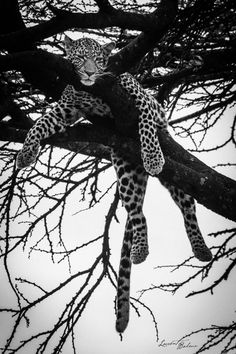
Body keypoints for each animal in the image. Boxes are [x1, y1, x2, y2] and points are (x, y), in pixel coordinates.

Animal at [16, 35, 212, 334]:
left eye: (98, 60)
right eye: (79, 57)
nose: (88, 73)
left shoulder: (140, 100)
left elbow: (145, 126)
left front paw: (153, 157)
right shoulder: (65, 109)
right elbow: (39, 123)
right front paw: (26, 154)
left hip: (176, 175)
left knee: (187, 207)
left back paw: (201, 249)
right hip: (125, 174)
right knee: (137, 213)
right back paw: (140, 250)